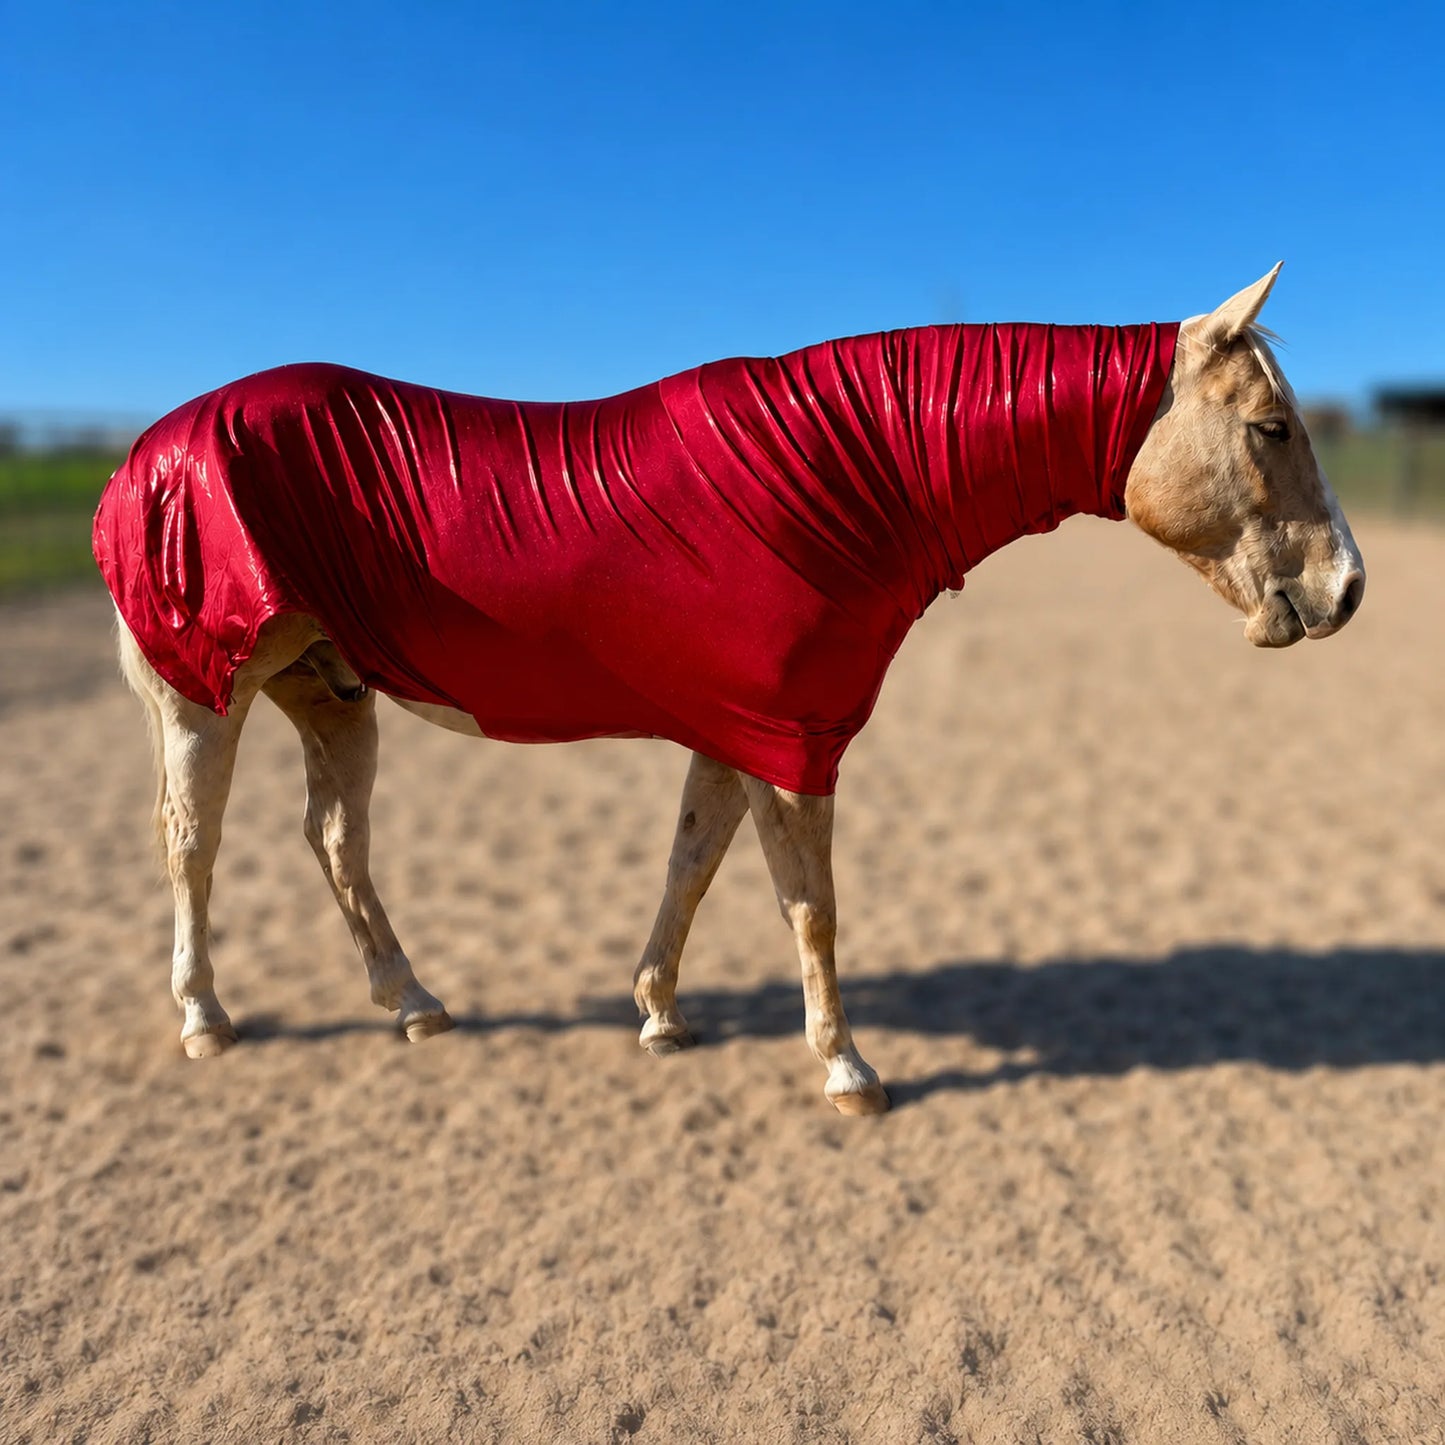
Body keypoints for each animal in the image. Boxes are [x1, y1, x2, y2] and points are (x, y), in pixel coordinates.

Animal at [93, 264, 1364, 1114]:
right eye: (1269, 426)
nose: (1347, 589)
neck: (835, 483)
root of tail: (146, 456)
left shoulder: (732, 731)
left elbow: (690, 865)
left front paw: (659, 1013)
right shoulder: (789, 743)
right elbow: (811, 904)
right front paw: (846, 1066)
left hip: (333, 695)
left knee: (335, 839)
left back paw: (412, 1001)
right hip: (202, 695)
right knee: (191, 846)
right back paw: (206, 1019)